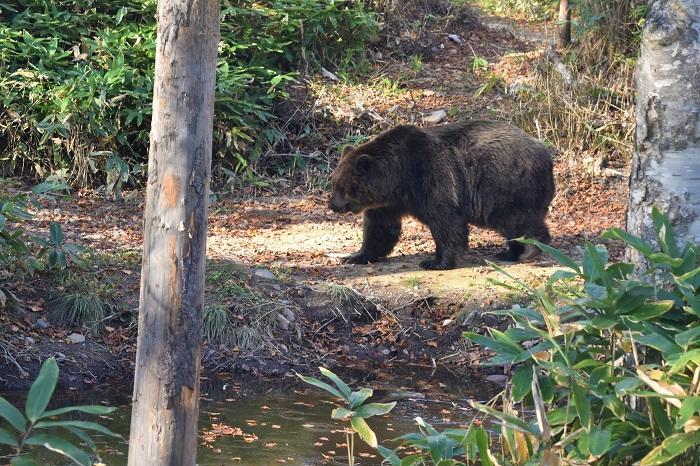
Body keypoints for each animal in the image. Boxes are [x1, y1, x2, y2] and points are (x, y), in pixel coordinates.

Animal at [330, 119, 556, 270]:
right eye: (334, 184)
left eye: (342, 187)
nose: (332, 205)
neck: (398, 177)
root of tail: (546, 154)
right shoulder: (388, 203)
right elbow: (380, 229)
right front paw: (354, 256)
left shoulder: (431, 177)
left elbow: (446, 222)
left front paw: (434, 261)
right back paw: (509, 253)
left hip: (506, 184)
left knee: (517, 219)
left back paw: (530, 250)